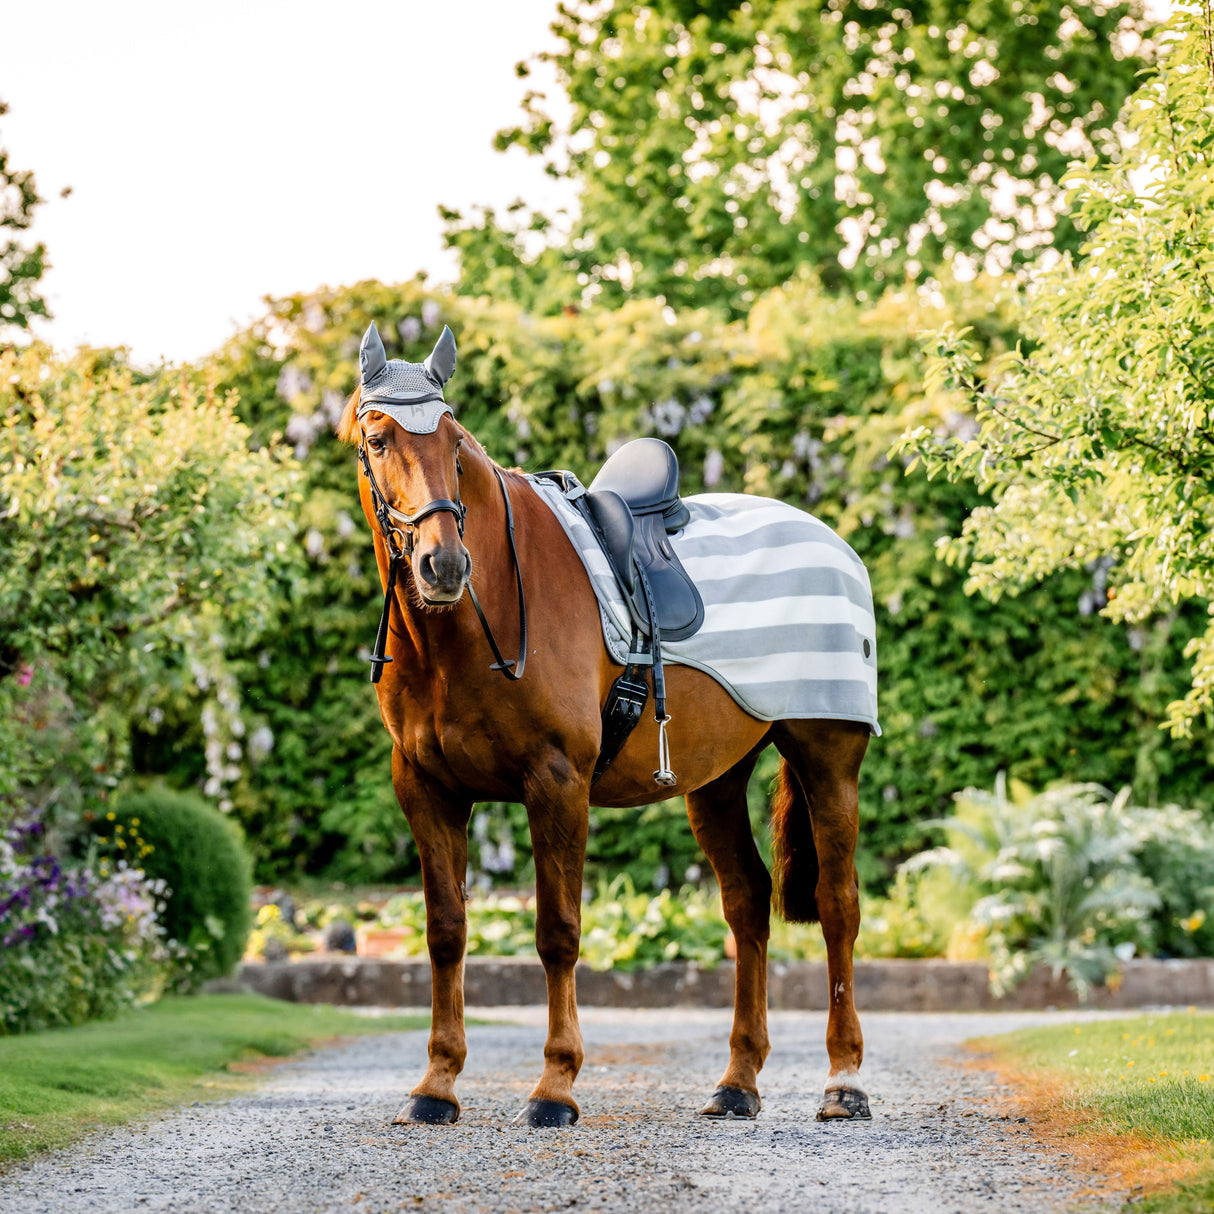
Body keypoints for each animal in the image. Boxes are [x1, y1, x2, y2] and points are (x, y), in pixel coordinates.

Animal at [339, 332, 874, 1126]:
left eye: (454, 446)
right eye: (377, 440)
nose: (442, 564)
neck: (479, 619)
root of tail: (833, 544)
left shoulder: (556, 783)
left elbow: (558, 933)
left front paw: (555, 1087)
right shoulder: (428, 791)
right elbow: (445, 934)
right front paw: (436, 1085)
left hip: (826, 753)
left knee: (838, 907)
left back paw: (844, 1081)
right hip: (715, 781)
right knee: (748, 905)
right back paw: (737, 1082)